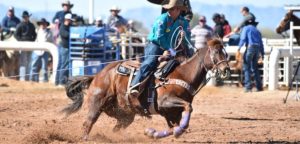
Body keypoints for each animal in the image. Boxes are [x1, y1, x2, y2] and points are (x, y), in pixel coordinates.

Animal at [61, 38, 230, 140]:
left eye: (225, 52)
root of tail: (97, 75)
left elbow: (175, 126)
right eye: (216, 52)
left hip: (124, 115)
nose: (226, 69)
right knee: (88, 123)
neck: (183, 75)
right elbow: (188, 107)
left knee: (115, 128)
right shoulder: (165, 103)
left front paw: (154, 133)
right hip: (96, 104)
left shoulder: (172, 114)